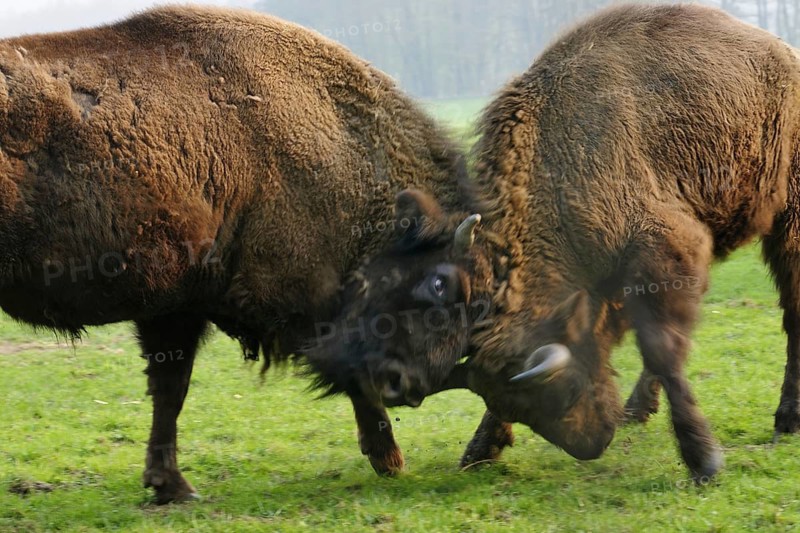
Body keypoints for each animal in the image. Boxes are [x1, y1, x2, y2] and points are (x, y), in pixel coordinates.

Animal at [0, 6, 466, 502]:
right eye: (439, 283)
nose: (412, 387)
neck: (342, 142)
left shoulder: (174, 308)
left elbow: (170, 390)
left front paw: (170, 485)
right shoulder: (300, 296)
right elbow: (352, 373)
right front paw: (390, 460)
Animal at [315, 3, 800, 481]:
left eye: (438, 286)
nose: (390, 381)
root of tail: (785, 55)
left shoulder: (666, 252)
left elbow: (662, 348)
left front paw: (704, 461)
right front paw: (480, 449)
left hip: (788, 220)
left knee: (792, 310)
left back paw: (785, 419)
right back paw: (637, 411)